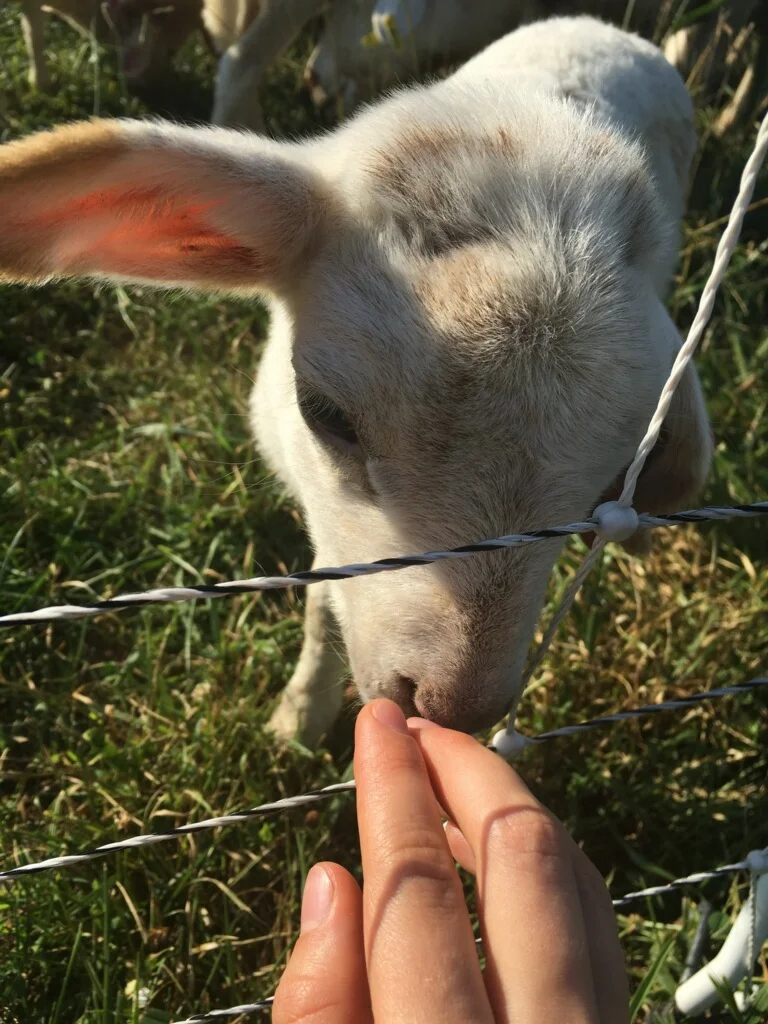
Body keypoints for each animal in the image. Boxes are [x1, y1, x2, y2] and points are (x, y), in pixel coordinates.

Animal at [0, 15, 712, 744]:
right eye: (325, 414)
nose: (453, 710)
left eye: (610, 477)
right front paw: (300, 717)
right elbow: (324, 596)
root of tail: (602, 27)